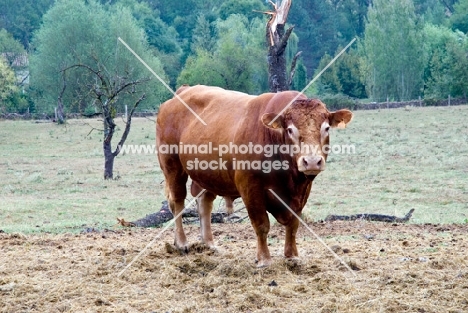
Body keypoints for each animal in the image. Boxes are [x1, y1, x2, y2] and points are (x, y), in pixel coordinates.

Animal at [157, 84, 352, 264]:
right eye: (290, 129)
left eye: (326, 128)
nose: (311, 161)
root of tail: (183, 91)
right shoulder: (250, 188)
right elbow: (261, 224)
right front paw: (264, 259)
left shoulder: (303, 190)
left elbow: (293, 223)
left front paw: (292, 256)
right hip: (172, 167)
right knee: (177, 202)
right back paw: (182, 243)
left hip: (207, 176)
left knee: (204, 203)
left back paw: (209, 244)